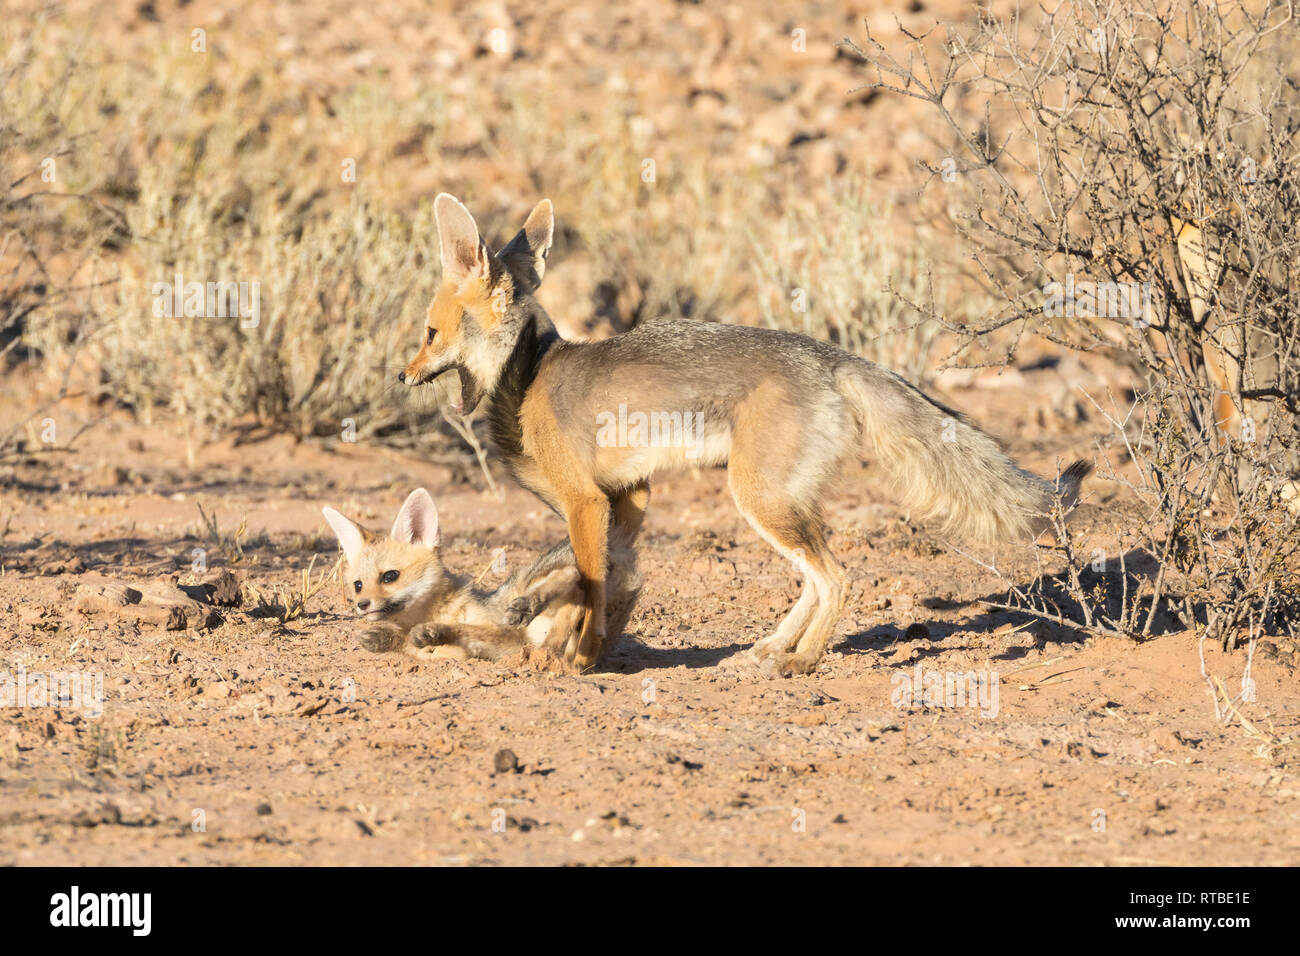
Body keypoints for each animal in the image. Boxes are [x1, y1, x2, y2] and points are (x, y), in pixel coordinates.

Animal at [395, 192, 1086, 671]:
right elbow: (611, 582)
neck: (529, 372)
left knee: (837, 577)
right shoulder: (632, 495)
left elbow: (592, 587)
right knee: (815, 579)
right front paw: (574, 644)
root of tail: (832, 355)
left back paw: (802, 661)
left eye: (428, 333)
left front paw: (582, 658)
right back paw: (774, 648)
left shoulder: (586, 500)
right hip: (772, 500)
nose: (402, 375)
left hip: (758, 498)